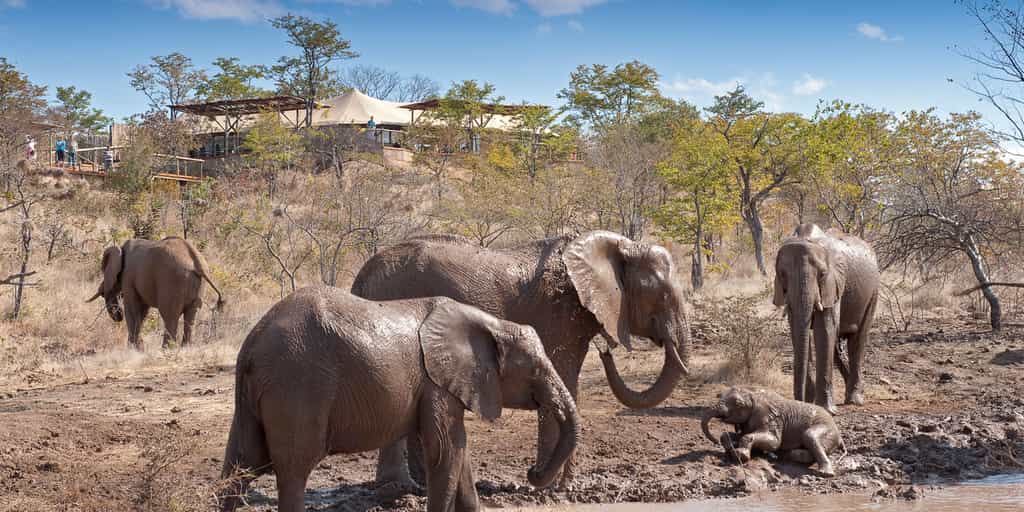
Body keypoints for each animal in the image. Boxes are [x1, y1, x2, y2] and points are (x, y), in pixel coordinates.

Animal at [87, 237, 224, 349]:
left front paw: (133, 349)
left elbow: (132, 309)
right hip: (197, 286)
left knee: (169, 315)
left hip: (172, 282)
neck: (120, 249)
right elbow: (142, 312)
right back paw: (186, 348)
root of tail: (197, 262)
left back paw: (166, 349)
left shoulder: (128, 276)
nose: (118, 315)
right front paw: (139, 348)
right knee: (191, 315)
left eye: (104, 270)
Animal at [218, 286, 578, 512]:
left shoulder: (441, 384)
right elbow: (445, 450)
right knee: (293, 470)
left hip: (256, 396)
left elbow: (459, 452)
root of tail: (252, 343)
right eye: (534, 369)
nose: (532, 472)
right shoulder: (436, 383)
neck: (489, 323)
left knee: (240, 465)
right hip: (297, 385)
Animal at [351, 231, 691, 486]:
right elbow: (562, 378)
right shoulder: (557, 313)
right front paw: (554, 488)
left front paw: (563, 485)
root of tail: (360, 277)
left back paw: (418, 486)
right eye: (662, 296)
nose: (605, 350)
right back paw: (398, 489)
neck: (616, 244)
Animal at [701, 386, 845, 477]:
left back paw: (824, 473)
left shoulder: (768, 417)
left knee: (810, 436)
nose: (714, 441)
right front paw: (730, 450)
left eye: (738, 403)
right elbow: (734, 434)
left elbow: (774, 442)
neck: (752, 393)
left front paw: (740, 456)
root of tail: (839, 436)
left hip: (827, 429)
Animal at [773, 224, 879, 414]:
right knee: (838, 347)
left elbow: (825, 329)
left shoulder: (834, 283)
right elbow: (797, 329)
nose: (798, 401)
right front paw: (809, 403)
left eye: (822, 274)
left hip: (873, 291)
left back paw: (855, 400)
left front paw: (827, 410)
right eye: (782, 275)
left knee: (858, 340)